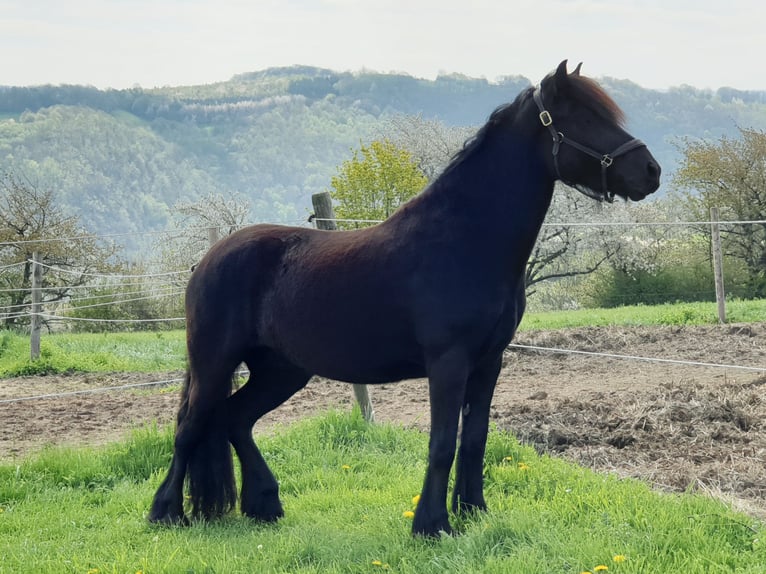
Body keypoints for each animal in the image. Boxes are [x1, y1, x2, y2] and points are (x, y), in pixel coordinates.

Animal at [150, 60, 660, 536]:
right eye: (582, 117)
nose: (650, 171)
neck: (463, 241)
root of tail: (208, 259)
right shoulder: (448, 362)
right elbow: (443, 442)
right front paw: (432, 525)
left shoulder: (489, 362)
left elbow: (474, 439)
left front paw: (472, 511)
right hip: (215, 363)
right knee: (190, 427)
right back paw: (166, 513)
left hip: (281, 370)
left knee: (235, 419)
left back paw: (266, 505)